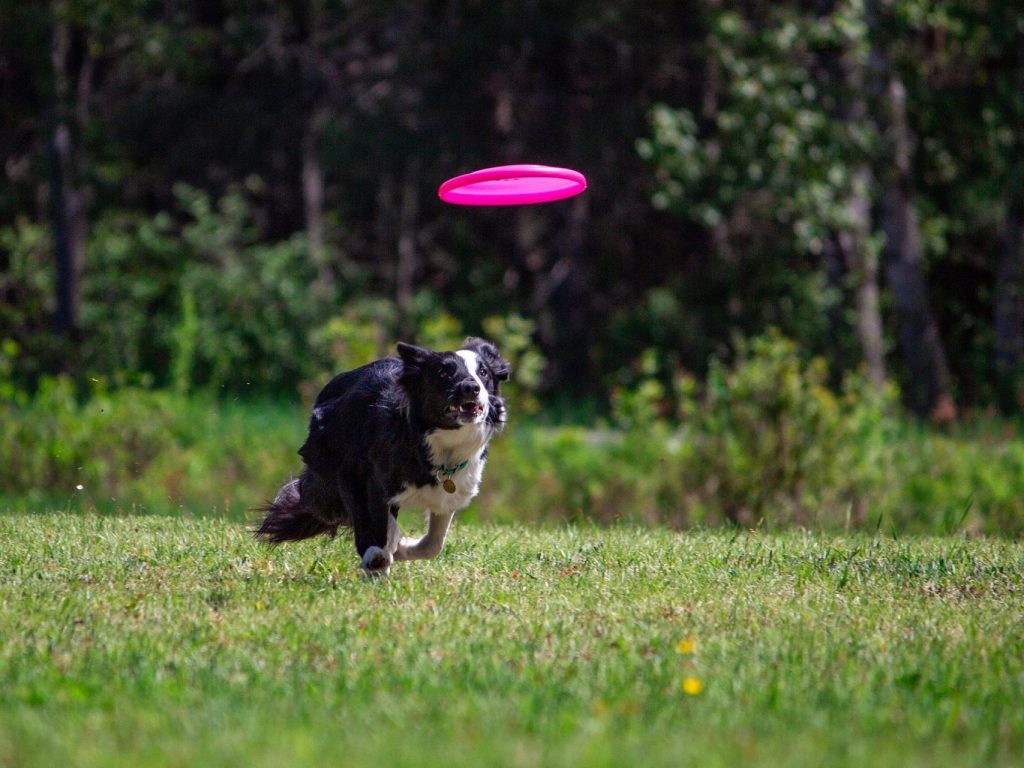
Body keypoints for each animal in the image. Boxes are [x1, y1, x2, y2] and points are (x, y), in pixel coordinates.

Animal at [253, 337, 509, 577]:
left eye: (483, 372)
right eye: (444, 372)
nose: (471, 387)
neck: (436, 443)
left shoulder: (450, 492)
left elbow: (433, 544)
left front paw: (401, 549)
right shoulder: (356, 475)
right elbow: (371, 521)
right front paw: (378, 557)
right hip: (325, 488)